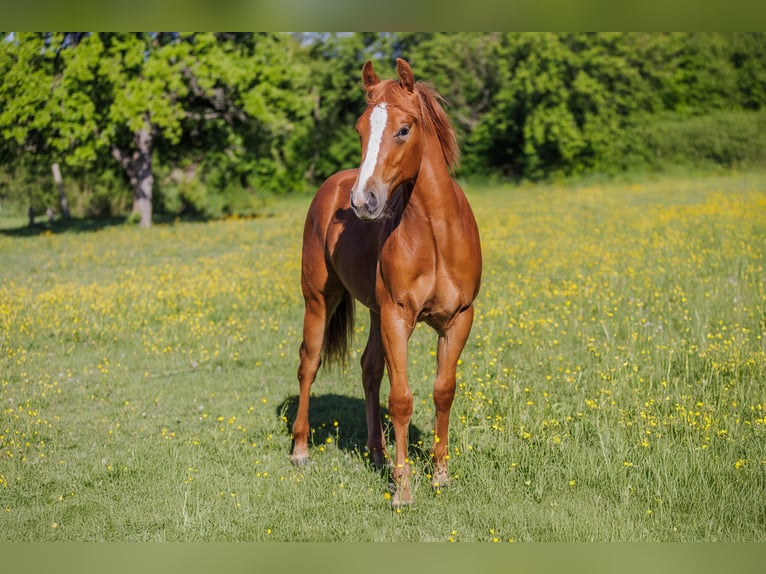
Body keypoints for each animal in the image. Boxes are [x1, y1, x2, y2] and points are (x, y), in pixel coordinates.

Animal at [291, 58, 482, 508]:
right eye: (361, 129)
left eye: (404, 129)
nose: (364, 201)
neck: (437, 237)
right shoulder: (398, 317)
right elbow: (402, 399)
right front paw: (404, 490)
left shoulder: (458, 320)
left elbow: (442, 391)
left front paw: (440, 476)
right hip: (319, 300)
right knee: (309, 363)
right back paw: (301, 450)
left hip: (375, 314)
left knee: (369, 369)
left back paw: (376, 454)